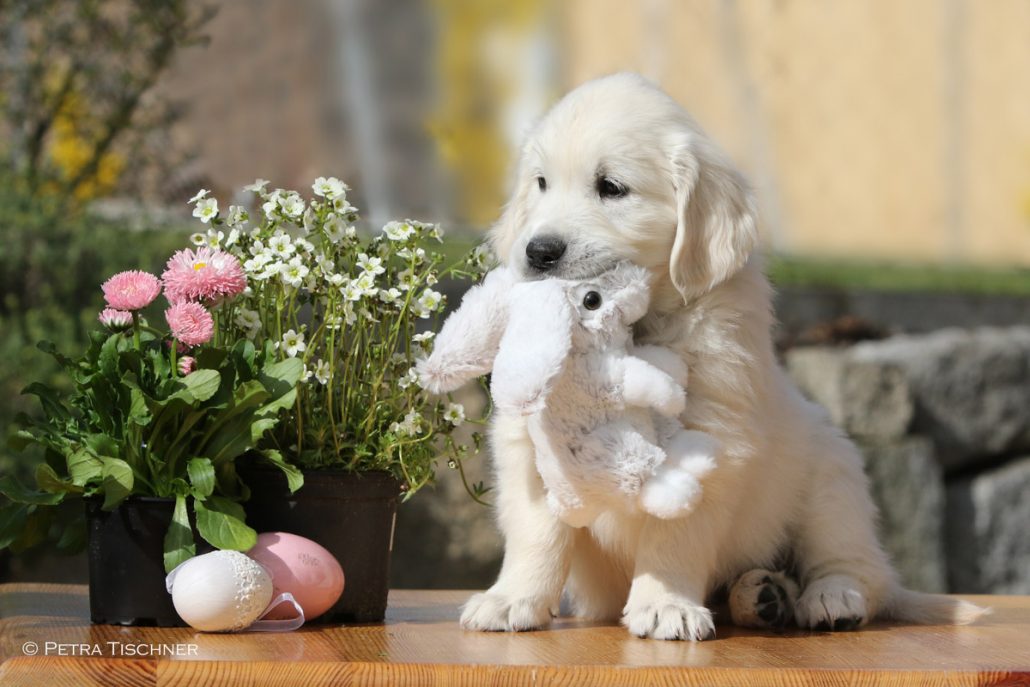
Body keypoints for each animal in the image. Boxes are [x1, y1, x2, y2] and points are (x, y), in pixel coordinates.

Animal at [459, 72, 987, 640]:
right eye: (540, 183)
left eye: (611, 187)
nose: (538, 252)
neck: (637, 327)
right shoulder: (532, 443)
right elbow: (536, 533)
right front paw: (511, 599)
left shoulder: (711, 437)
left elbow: (673, 534)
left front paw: (665, 604)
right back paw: (764, 594)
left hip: (833, 478)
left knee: (858, 568)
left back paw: (827, 597)